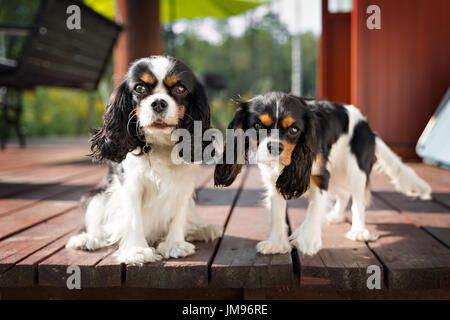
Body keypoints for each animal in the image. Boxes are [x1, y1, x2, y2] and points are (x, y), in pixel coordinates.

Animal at [67, 55, 221, 264]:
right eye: (140, 88)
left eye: (180, 89)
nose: (158, 103)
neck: (159, 143)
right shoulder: (130, 184)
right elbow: (134, 218)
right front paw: (137, 250)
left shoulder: (184, 184)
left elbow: (179, 215)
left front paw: (174, 244)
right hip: (97, 196)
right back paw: (88, 238)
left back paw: (202, 230)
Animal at [214, 92, 432, 255]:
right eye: (257, 126)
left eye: (294, 130)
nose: (275, 147)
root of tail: (369, 128)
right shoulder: (274, 181)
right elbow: (277, 213)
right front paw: (276, 244)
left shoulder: (320, 175)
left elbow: (314, 208)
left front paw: (308, 240)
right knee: (343, 195)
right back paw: (335, 216)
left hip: (355, 168)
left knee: (357, 201)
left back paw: (358, 231)